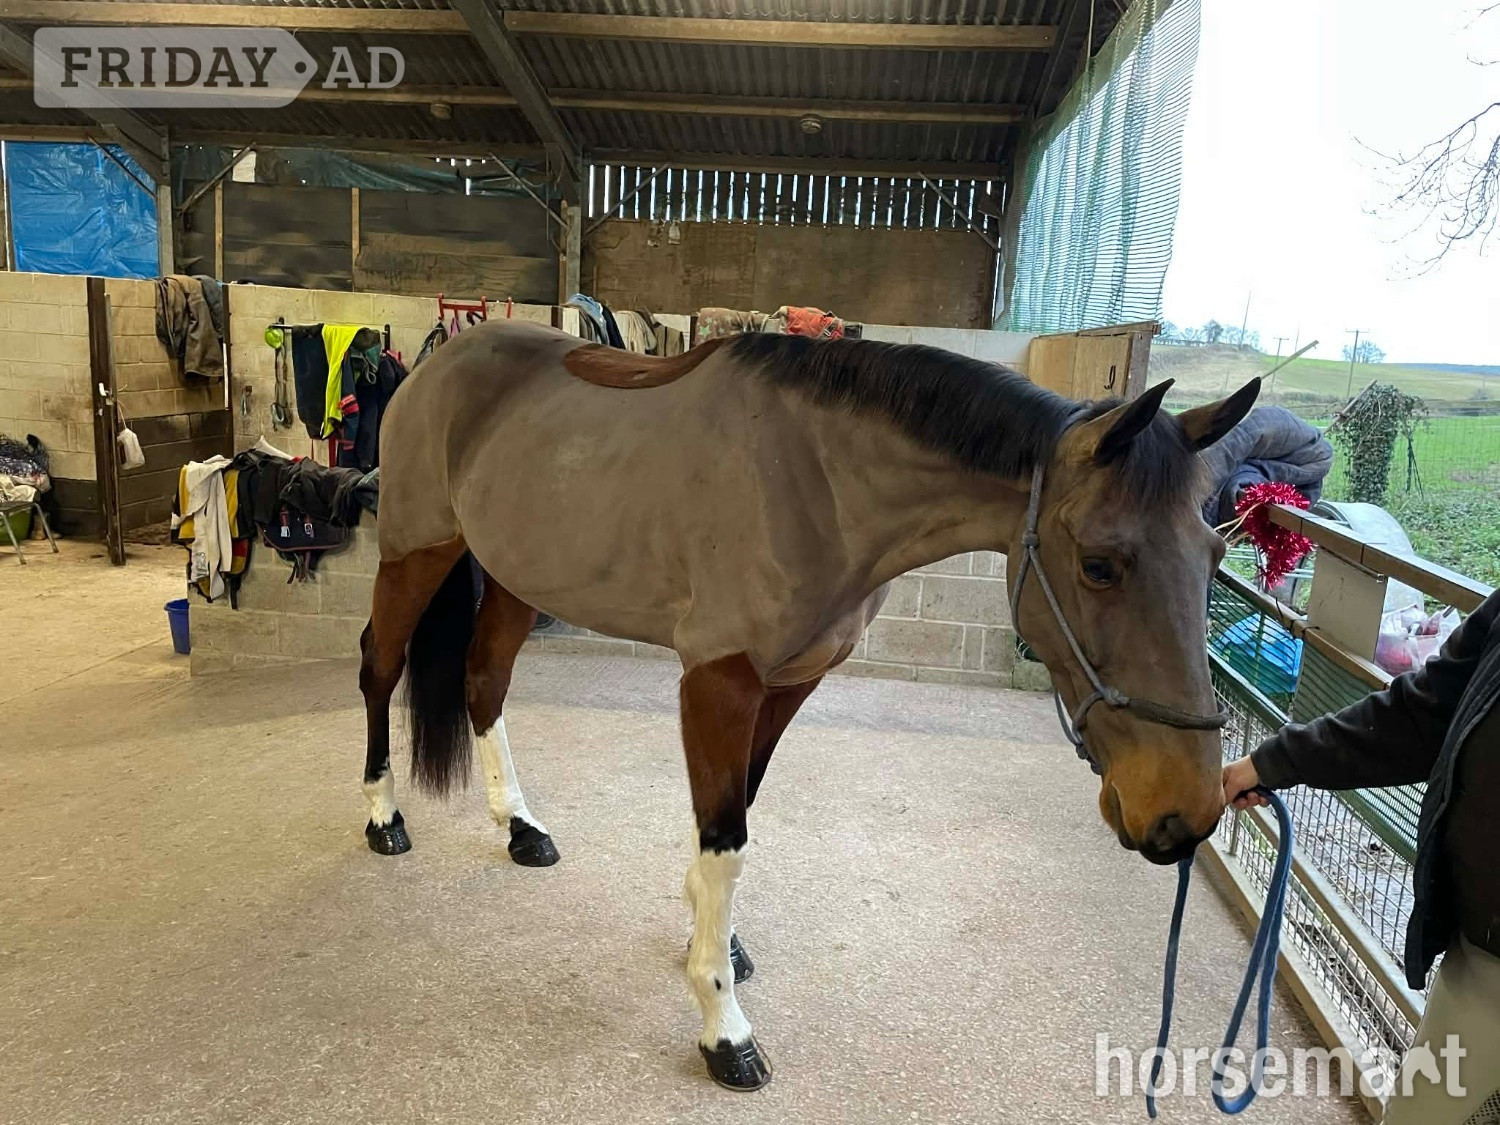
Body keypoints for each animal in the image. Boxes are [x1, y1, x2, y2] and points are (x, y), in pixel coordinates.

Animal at [357, 318, 1260, 1091]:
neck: (817, 482)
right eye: (1101, 564)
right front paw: (723, 1022)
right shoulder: (718, 680)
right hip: (417, 550)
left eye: (1216, 553)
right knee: (379, 666)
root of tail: (439, 360)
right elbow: (726, 837)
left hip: (516, 575)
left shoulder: (791, 682)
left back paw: (521, 827)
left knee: (484, 680)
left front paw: (714, 937)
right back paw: (383, 816)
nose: (1186, 811)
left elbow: (734, 821)